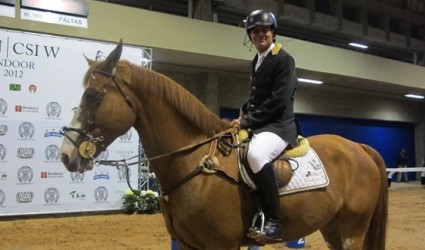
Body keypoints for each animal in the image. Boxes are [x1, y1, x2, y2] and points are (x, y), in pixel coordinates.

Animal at [59, 42, 388, 249]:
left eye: (92, 95)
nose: (66, 154)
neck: (193, 163)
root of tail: (358, 147)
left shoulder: (222, 245)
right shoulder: (188, 244)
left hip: (353, 228)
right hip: (332, 227)